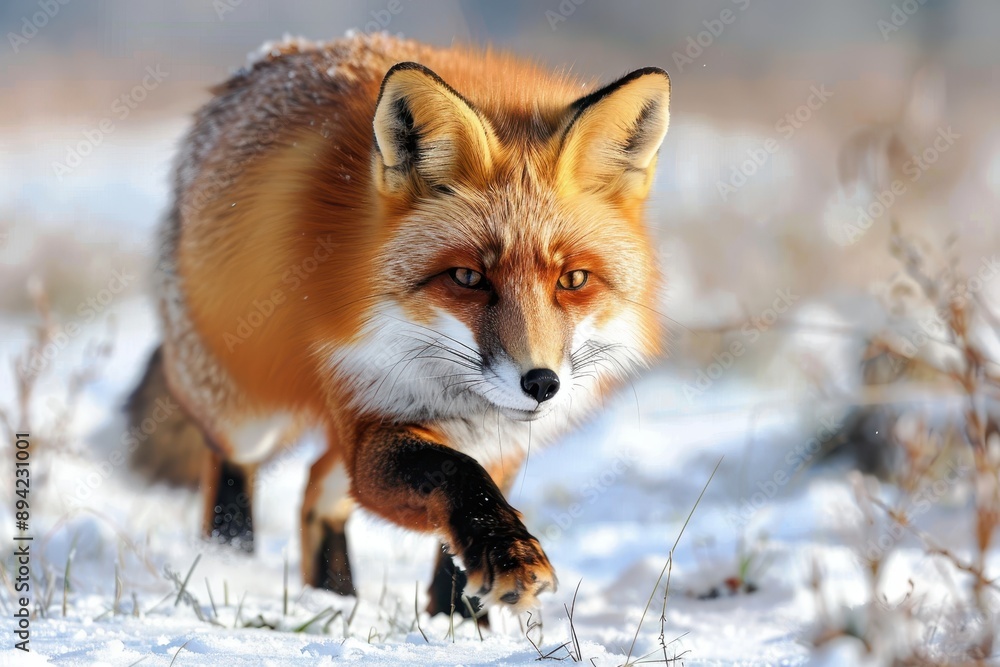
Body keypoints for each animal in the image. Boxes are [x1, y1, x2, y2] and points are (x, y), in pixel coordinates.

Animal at [127, 32, 670, 617]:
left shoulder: (494, 441)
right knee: (233, 463)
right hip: (246, 405)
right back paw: (230, 564)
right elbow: (459, 476)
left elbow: (458, 522)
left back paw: (335, 598)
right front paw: (507, 555)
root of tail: (266, 58)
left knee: (317, 491)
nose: (542, 384)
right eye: (467, 276)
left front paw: (456, 618)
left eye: (573, 279)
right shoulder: (373, 408)